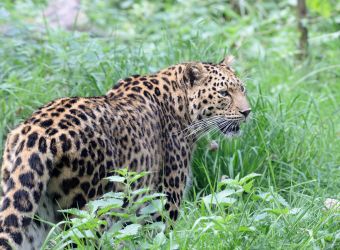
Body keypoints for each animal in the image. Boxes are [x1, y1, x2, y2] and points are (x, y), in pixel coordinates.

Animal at [0, 55, 250, 249]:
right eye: (224, 93)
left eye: (242, 89)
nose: (247, 112)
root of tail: (36, 134)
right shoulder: (165, 202)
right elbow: (159, 239)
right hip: (88, 214)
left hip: (30, 215)